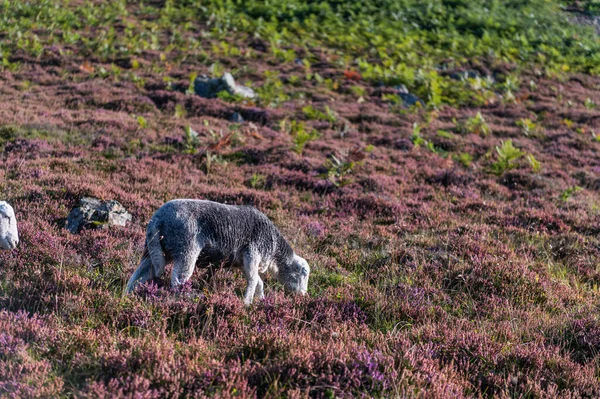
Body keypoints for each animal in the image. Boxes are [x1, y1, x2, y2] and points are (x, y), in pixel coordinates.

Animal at [125, 200, 312, 306]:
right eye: (303, 272)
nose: (304, 295)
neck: (274, 252)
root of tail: (158, 219)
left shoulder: (243, 262)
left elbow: (259, 281)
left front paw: (261, 300)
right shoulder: (252, 254)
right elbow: (253, 280)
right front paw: (247, 303)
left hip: (153, 250)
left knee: (138, 275)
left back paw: (127, 297)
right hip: (187, 248)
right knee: (178, 280)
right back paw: (188, 298)